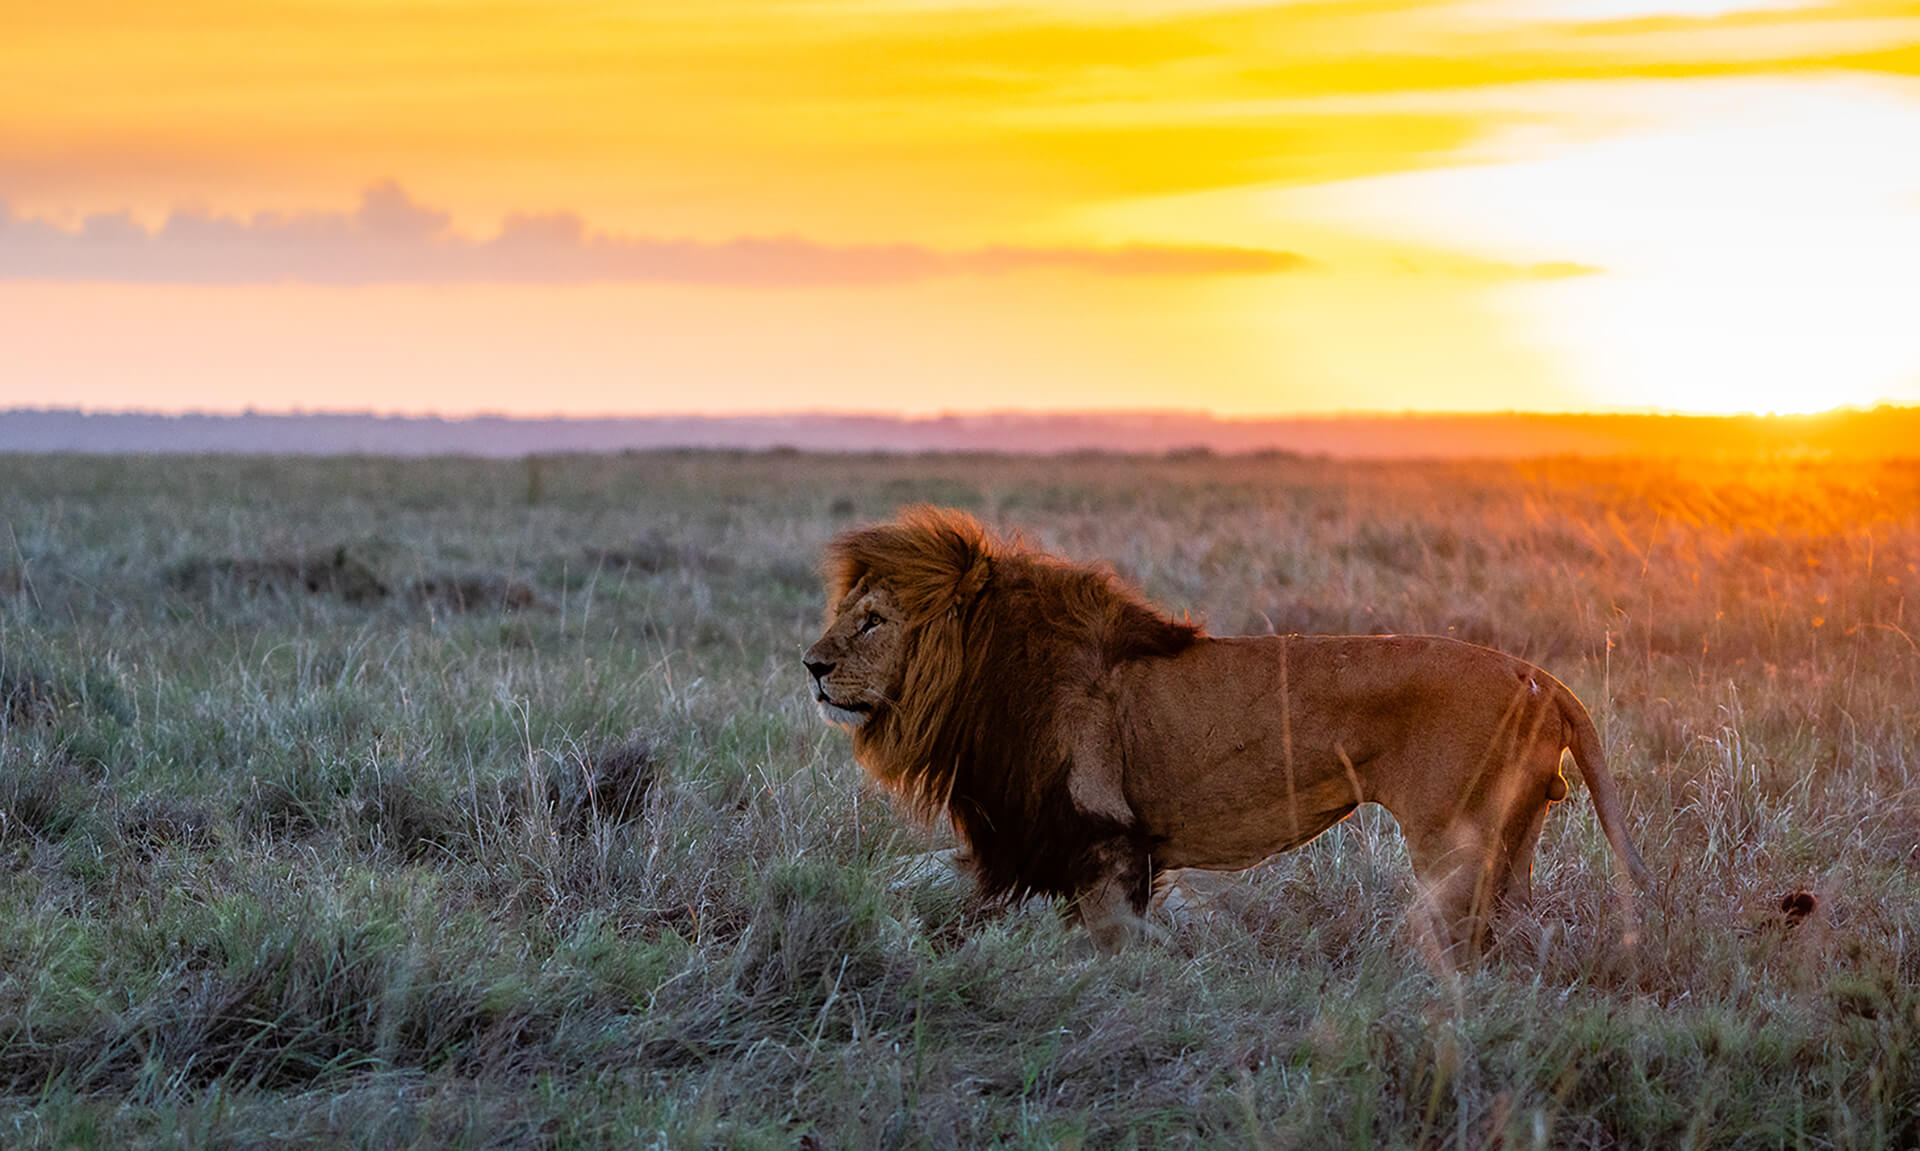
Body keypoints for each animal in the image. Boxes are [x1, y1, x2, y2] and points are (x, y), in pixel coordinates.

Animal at [804, 506, 1650, 960]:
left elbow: (1111, 941)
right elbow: (926, 892)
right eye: (846, 613)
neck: (975, 682)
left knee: (1463, 938)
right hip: (1515, 839)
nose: (811, 664)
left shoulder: (1102, 836)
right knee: (1516, 928)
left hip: (1455, 839)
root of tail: (1535, 674)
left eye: (873, 621)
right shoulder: (1023, 843)